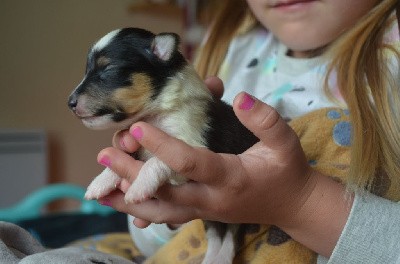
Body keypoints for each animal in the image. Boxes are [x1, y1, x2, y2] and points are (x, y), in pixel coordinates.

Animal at [67, 27, 258, 262]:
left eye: (108, 69)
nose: (70, 103)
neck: (155, 114)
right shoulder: (137, 143)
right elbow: (125, 156)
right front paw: (99, 183)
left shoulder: (192, 149)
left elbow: (158, 160)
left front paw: (138, 188)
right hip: (212, 217)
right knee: (216, 234)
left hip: (235, 212)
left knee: (231, 235)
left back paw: (221, 258)